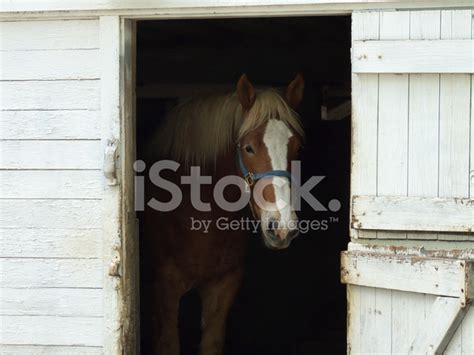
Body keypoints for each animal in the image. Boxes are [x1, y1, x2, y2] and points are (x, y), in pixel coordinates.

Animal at [142, 73, 304, 355]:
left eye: (296, 148)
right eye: (248, 148)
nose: (282, 228)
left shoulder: (223, 286)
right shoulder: (165, 288)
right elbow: (167, 344)